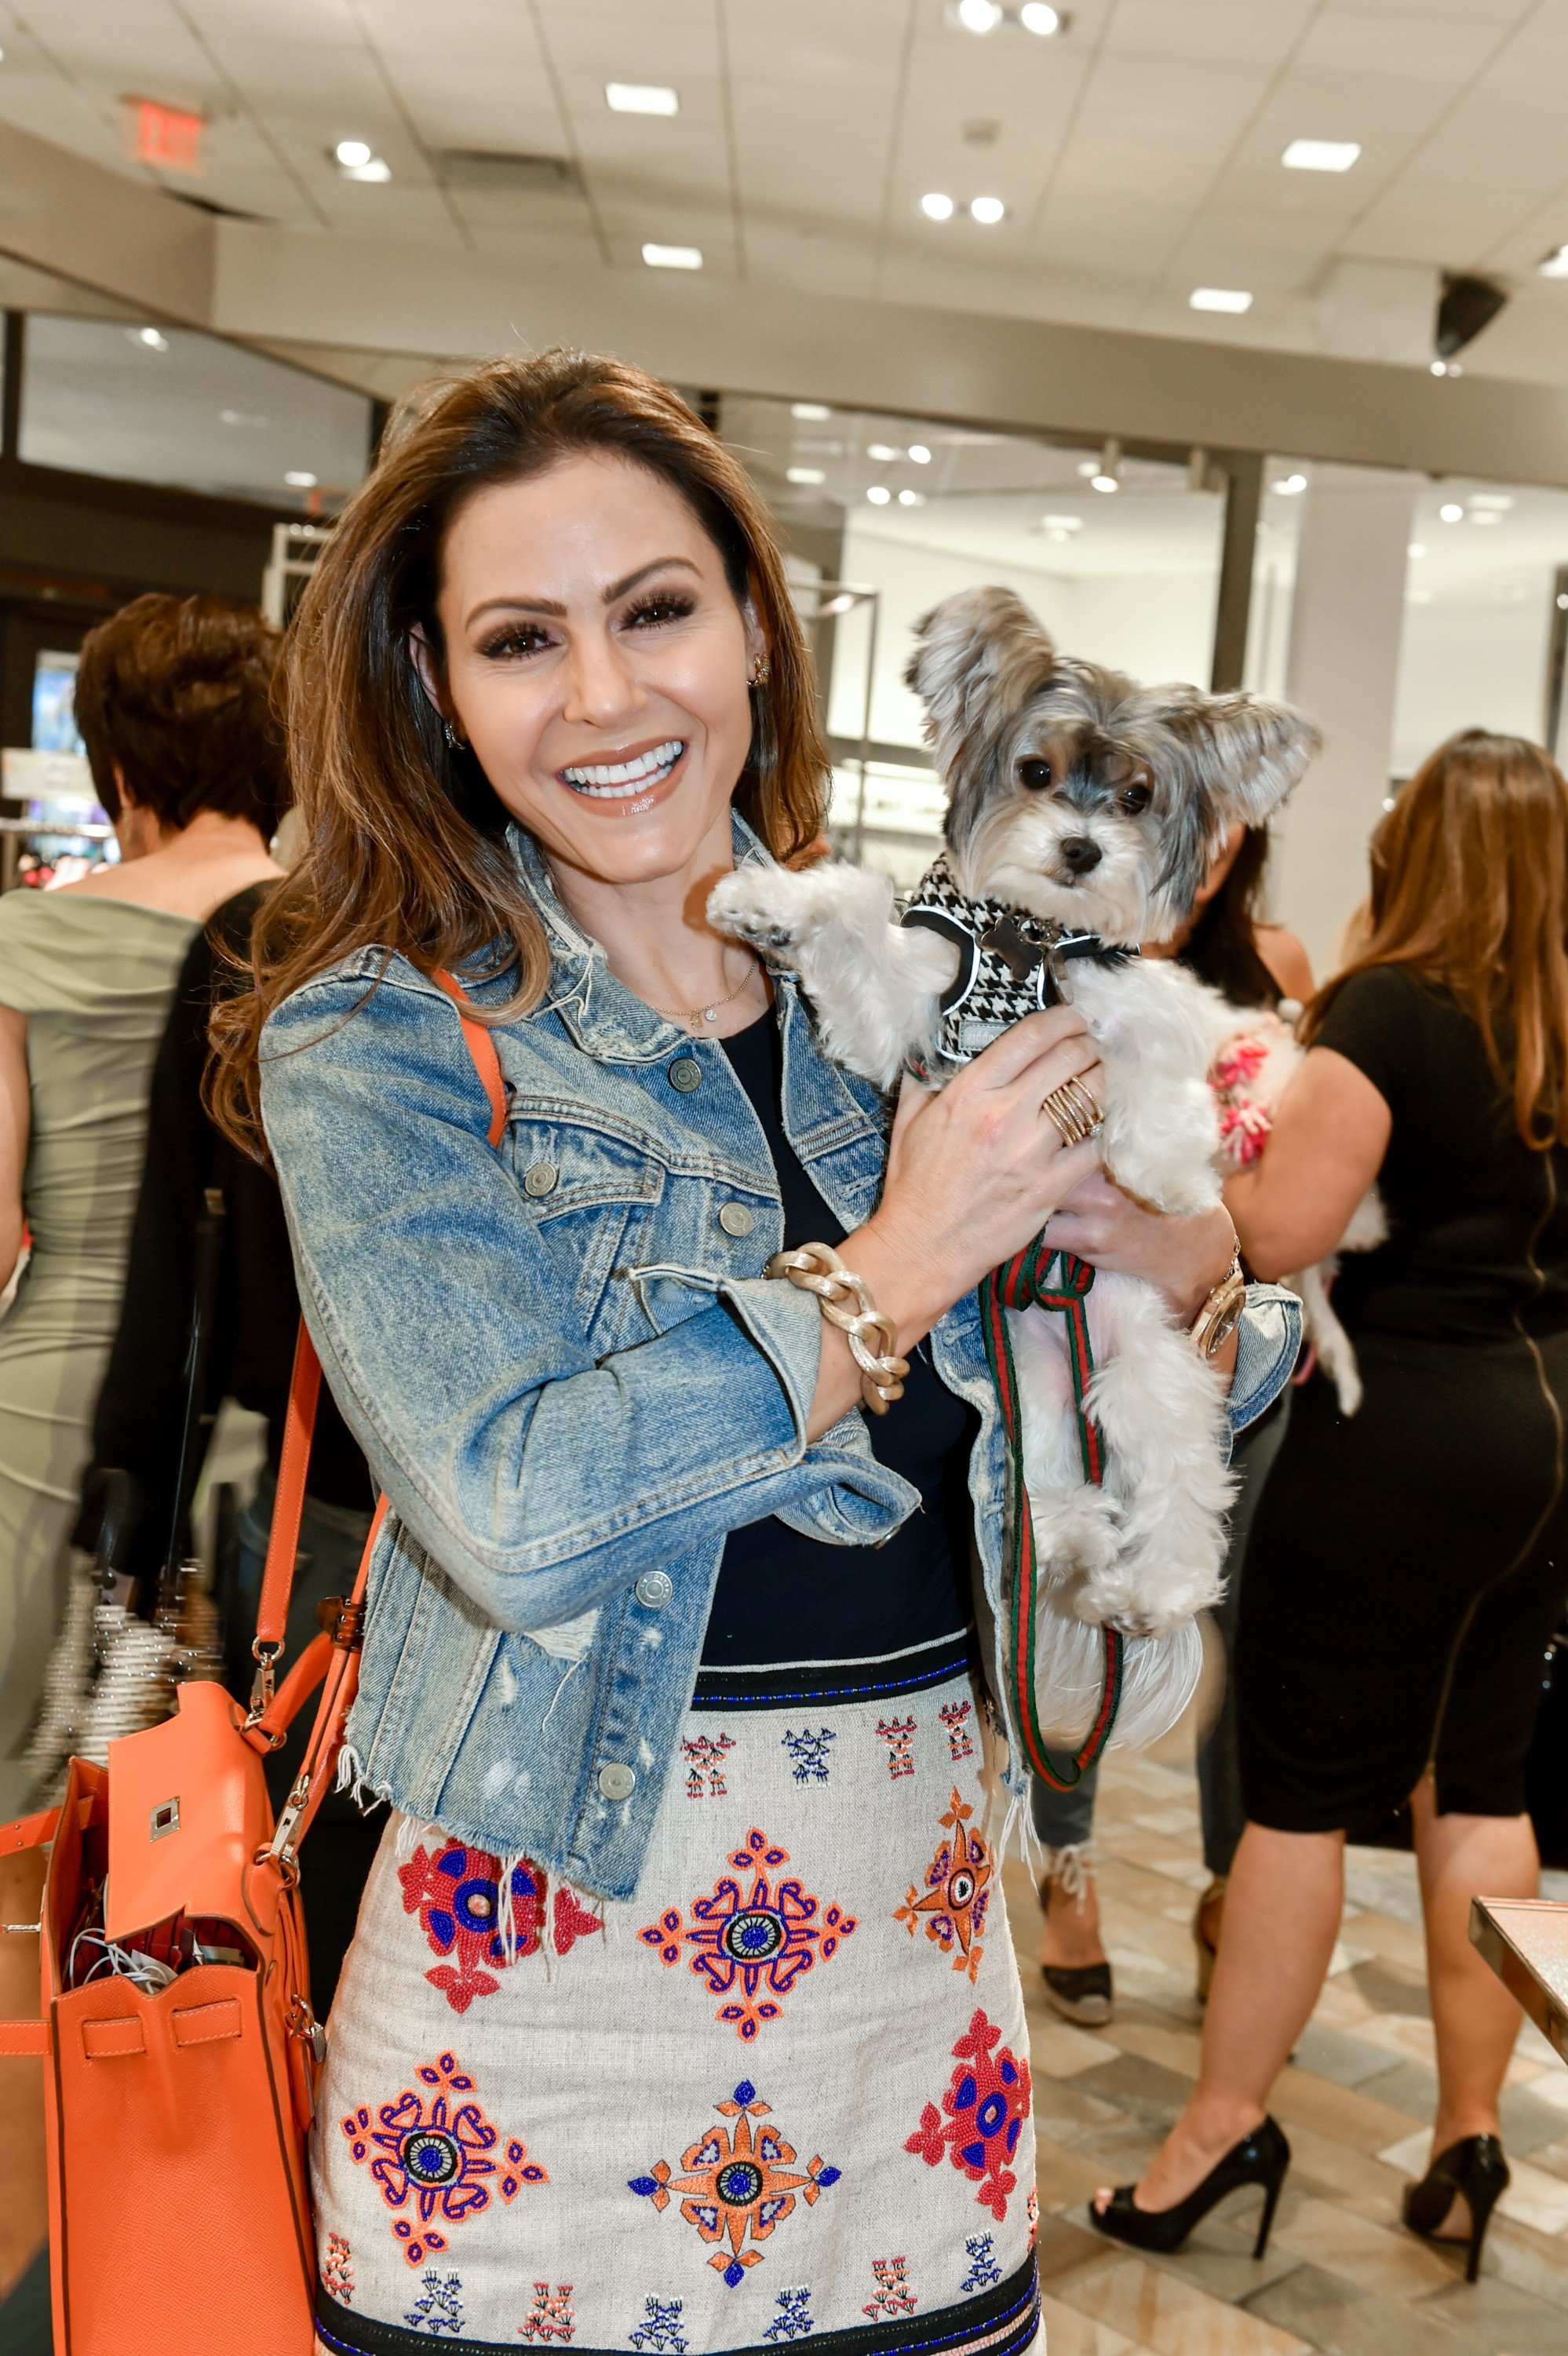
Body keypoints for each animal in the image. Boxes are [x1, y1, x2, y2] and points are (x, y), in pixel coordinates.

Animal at [716, 589, 1309, 1639]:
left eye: (1136, 798)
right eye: (1036, 772)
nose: (1080, 848)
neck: (1024, 936)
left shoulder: (1134, 989)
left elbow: (1160, 1058)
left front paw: (1163, 1174)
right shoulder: (899, 1015)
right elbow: (854, 902)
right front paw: (770, 905)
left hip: (1147, 1370)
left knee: (1180, 1485)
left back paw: (1151, 1589)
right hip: (1027, 1396)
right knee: (1053, 1485)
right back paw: (1073, 1553)